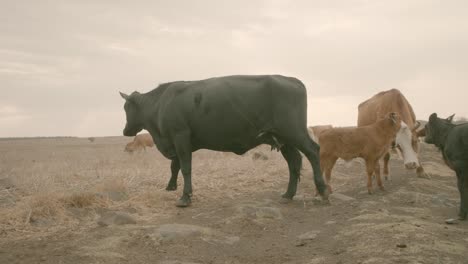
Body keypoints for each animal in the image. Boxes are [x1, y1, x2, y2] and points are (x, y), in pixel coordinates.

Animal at [119, 73, 328, 206]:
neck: (161, 103)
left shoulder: (180, 136)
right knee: (294, 161)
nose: (125, 130)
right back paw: (288, 195)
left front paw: (185, 197)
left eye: (126, 107)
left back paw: (323, 191)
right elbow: (175, 166)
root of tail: (291, 79)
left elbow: (185, 167)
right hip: (282, 138)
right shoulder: (176, 141)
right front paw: (171, 186)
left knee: (312, 151)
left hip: (294, 132)